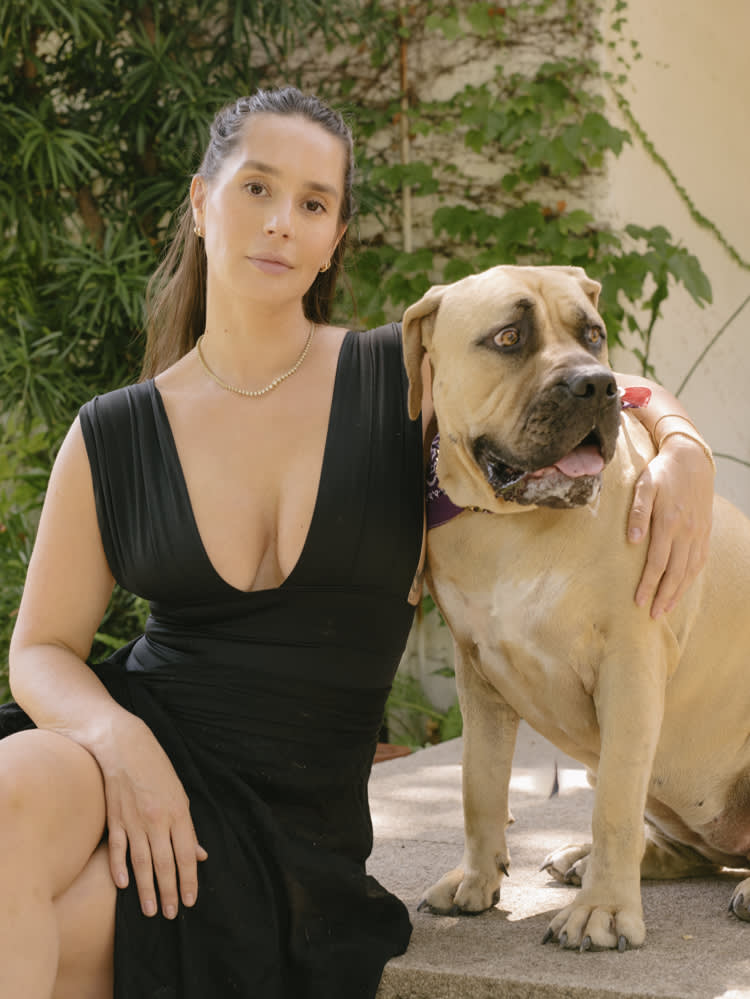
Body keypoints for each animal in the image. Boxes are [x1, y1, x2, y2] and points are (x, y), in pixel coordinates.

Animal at [406, 266, 750, 952]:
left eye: (593, 335)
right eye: (508, 337)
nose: (598, 384)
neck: (513, 527)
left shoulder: (630, 669)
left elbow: (614, 801)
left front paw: (604, 912)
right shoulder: (477, 673)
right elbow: (478, 783)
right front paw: (477, 880)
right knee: (693, 851)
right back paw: (586, 859)